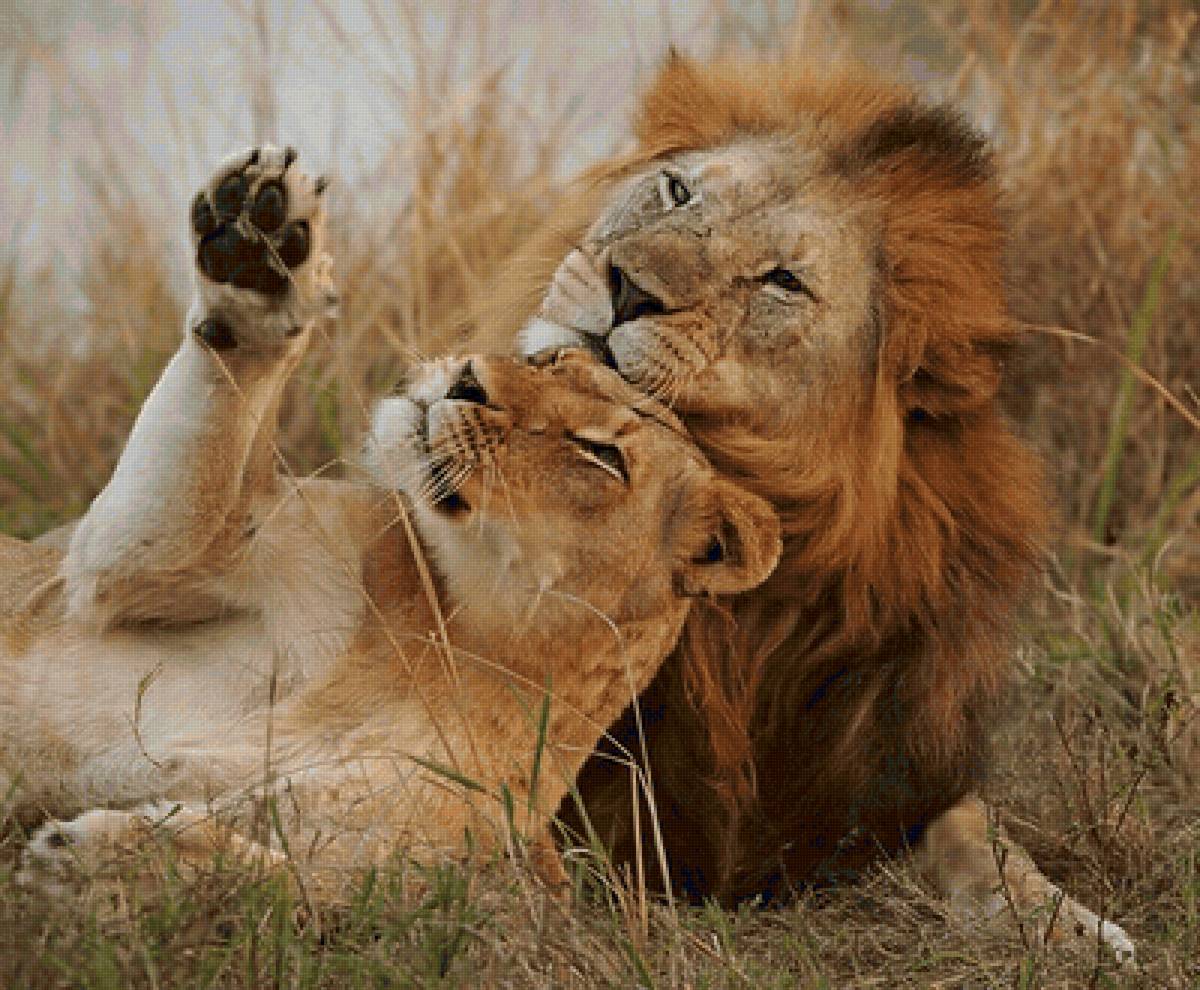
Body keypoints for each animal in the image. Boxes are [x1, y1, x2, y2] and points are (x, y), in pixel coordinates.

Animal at [0, 146, 782, 901]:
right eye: (550, 359)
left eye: (601, 453)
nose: (467, 379)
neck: (459, 647)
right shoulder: (139, 566)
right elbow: (203, 445)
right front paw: (260, 254)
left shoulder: (405, 864)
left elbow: (270, 882)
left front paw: (91, 866)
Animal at [473, 54, 1136, 958]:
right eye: (677, 191)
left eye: (782, 280)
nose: (628, 287)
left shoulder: (877, 769)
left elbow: (982, 838)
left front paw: (1076, 925)